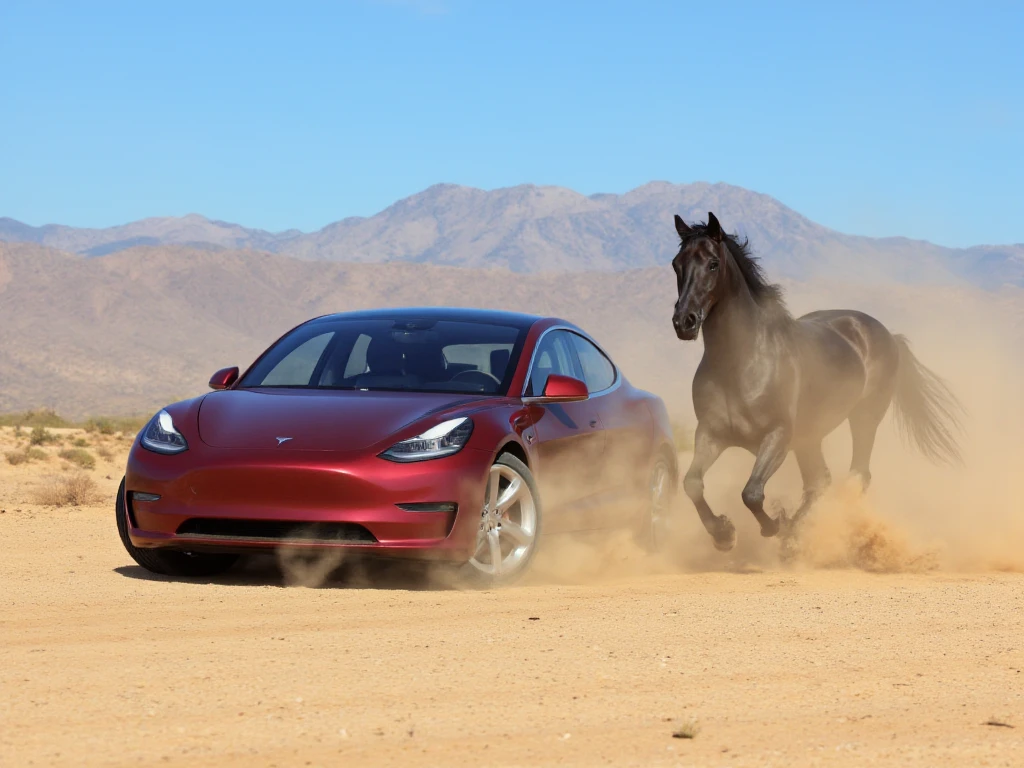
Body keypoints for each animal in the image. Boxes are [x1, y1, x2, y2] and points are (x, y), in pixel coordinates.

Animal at [667, 214, 962, 548]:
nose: (684, 322)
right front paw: (724, 534)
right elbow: (692, 483)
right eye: (676, 263)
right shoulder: (711, 434)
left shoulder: (778, 436)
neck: (740, 364)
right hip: (810, 438)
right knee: (821, 481)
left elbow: (751, 493)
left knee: (856, 476)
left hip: (864, 418)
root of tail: (887, 334)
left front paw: (773, 526)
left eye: (713, 263)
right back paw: (795, 537)